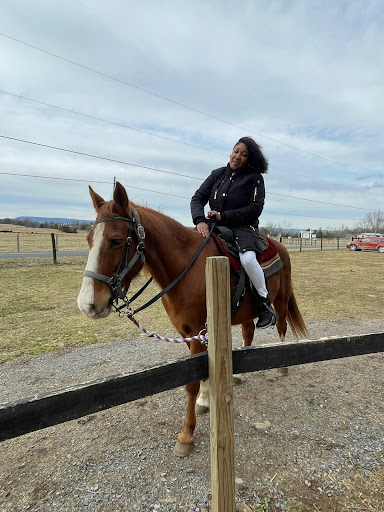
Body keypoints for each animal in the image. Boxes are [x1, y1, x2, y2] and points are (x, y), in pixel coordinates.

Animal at [76, 182, 308, 458]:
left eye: (116, 241)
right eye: (89, 239)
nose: (88, 304)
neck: (188, 268)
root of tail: (280, 247)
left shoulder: (199, 331)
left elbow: (191, 384)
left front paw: (186, 435)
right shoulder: (190, 333)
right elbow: (201, 371)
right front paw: (205, 401)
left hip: (281, 302)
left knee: (281, 326)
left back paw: (282, 366)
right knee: (248, 333)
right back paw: (240, 375)